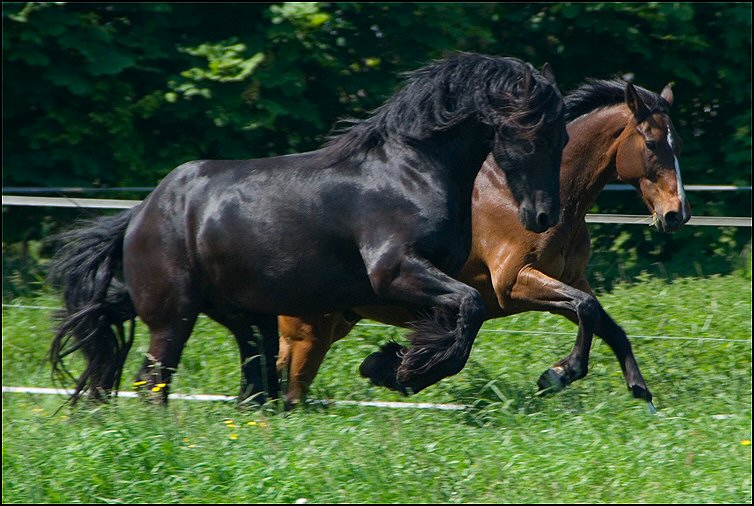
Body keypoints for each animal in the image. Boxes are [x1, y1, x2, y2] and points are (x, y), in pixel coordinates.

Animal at [48, 52, 567, 406]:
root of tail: (140, 214)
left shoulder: (427, 282)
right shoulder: (397, 272)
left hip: (246, 318)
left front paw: (393, 366)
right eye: (532, 133)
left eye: (562, 134)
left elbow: (460, 318)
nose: (544, 217)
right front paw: (402, 373)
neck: (411, 171)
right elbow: (470, 307)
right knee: (154, 382)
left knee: (255, 386)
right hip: (173, 317)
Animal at [277, 79, 690, 410]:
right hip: (308, 332)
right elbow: (587, 310)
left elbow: (606, 324)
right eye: (652, 143)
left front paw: (642, 394)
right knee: (289, 387)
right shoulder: (514, 283)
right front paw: (557, 375)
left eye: (679, 145)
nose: (677, 214)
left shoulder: (569, 280)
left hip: (335, 323)